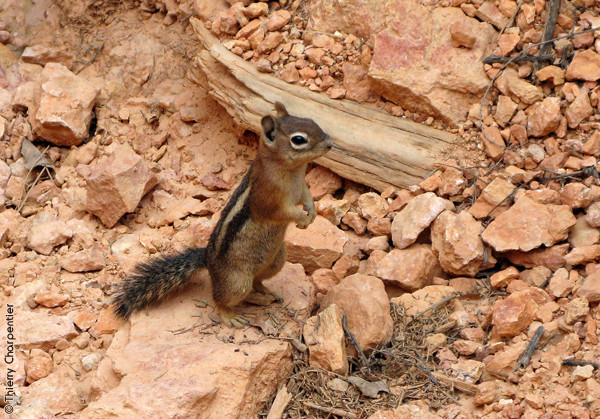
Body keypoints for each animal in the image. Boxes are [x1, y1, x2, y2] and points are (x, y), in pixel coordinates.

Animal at [112, 101, 332, 328]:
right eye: (299, 139)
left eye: (311, 121)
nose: (330, 144)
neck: (293, 172)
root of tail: (207, 259)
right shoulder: (268, 198)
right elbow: (282, 212)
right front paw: (302, 218)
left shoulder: (302, 188)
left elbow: (307, 199)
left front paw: (312, 213)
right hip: (237, 282)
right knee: (220, 298)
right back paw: (230, 316)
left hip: (277, 260)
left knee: (257, 281)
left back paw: (267, 292)